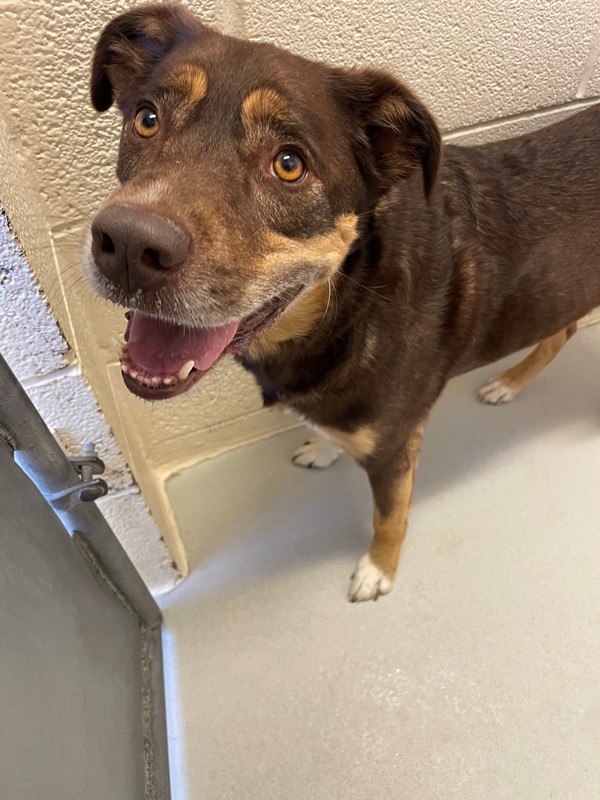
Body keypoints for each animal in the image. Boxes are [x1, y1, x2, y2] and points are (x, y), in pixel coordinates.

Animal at [84, 0, 600, 600]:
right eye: (146, 119)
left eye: (289, 164)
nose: (126, 246)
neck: (349, 307)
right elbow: (325, 430)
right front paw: (323, 448)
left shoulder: (395, 447)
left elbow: (389, 517)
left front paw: (379, 570)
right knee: (563, 328)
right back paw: (510, 383)